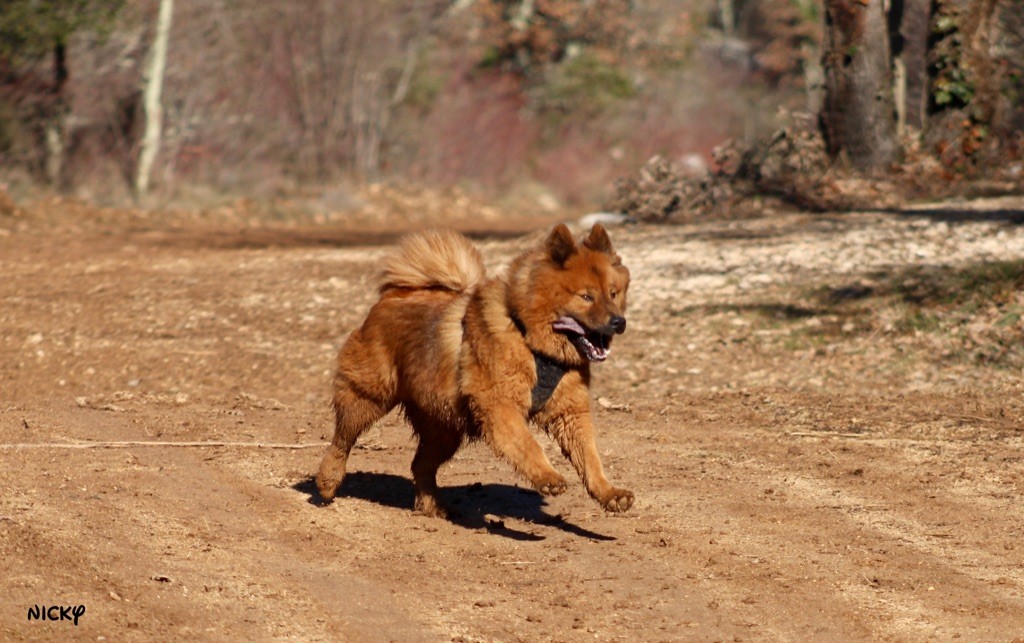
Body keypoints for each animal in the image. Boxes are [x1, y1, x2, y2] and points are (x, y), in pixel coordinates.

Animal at [313, 225, 630, 518]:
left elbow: (590, 458)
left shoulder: (569, 412)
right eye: (586, 296)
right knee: (342, 439)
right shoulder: (500, 405)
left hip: (444, 426)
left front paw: (610, 493)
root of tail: (394, 294)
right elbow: (528, 444)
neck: (528, 337)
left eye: (613, 294)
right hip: (370, 397)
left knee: (421, 465)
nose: (619, 322)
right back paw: (328, 482)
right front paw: (548, 477)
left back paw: (431, 507)